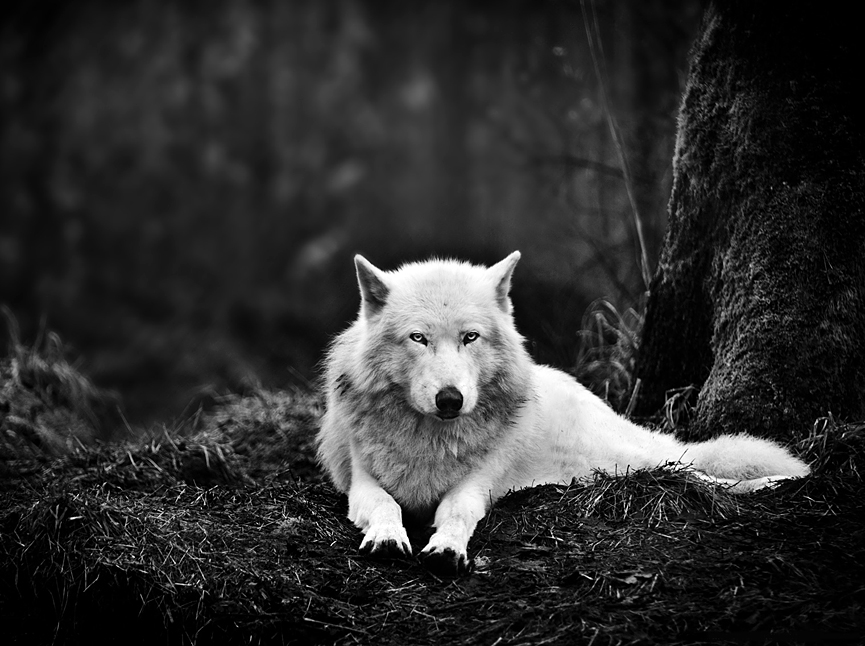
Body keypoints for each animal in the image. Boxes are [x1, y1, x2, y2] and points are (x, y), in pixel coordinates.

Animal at [316, 252, 810, 576]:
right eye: (418, 338)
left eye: (470, 337)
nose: (450, 399)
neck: (432, 439)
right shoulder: (362, 481)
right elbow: (384, 504)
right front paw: (387, 537)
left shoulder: (477, 485)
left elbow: (456, 511)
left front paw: (447, 548)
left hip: (632, 459)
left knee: (698, 472)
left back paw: (779, 481)